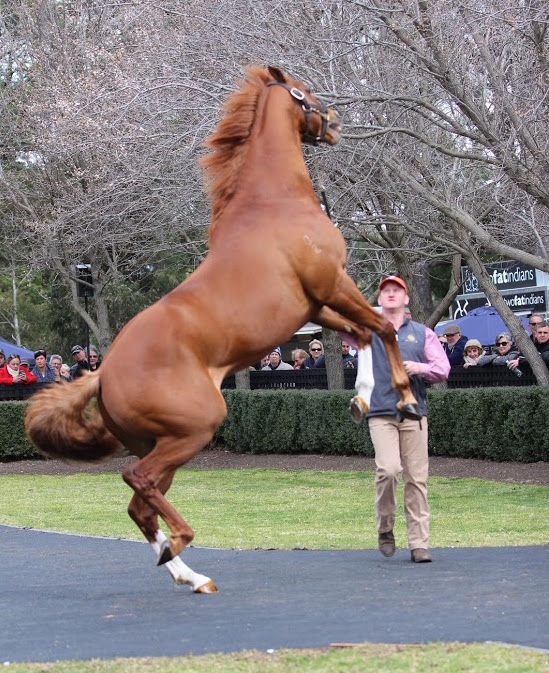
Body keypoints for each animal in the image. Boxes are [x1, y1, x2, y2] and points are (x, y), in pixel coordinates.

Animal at [25, 65, 418, 592]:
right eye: (304, 93)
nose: (334, 122)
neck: (275, 202)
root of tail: (102, 373)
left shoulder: (315, 307)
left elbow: (365, 336)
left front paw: (361, 400)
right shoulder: (332, 285)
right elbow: (383, 328)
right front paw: (406, 399)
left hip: (167, 442)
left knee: (140, 507)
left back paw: (190, 575)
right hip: (195, 428)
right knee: (136, 480)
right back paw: (181, 543)